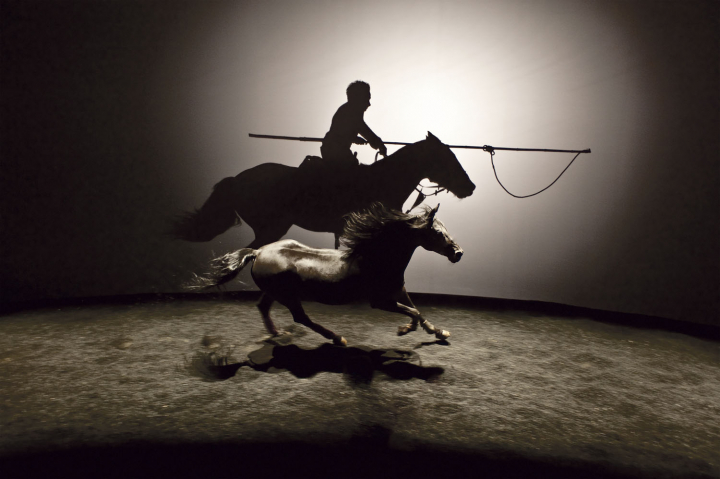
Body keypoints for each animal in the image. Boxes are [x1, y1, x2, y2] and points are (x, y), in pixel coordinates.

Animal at [188, 202, 463, 346]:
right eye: (438, 233)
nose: (458, 253)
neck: (377, 259)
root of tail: (257, 252)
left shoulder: (398, 290)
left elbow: (418, 310)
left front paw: (439, 332)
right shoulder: (380, 301)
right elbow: (413, 312)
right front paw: (404, 330)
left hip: (274, 292)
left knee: (263, 307)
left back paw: (277, 334)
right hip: (288, 296)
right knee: (301, 317)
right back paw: (337, 337)